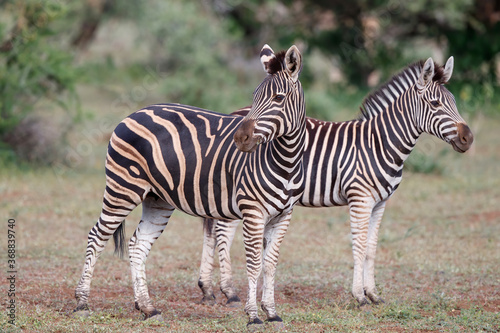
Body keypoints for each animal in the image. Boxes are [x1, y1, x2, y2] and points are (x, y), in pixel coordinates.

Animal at [73, 42, 308, 326]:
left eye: (278, 99)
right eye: (254, 97)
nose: (240, 139)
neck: (286, 161)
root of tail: (131, 114)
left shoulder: (284, 215)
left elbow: (270, 263)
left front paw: (271, 313)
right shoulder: (253, 212)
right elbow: (254, 263)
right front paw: (253, 316)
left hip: (157, 199)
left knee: (138, 245)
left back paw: (147, 307)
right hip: (122, 189)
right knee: (97, 236)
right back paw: (82, 303)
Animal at [194, 56, 472, 306]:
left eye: (454, 101)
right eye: (435, 103)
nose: (468, 138)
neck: (379, 144)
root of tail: (234, 114)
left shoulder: (380, 203)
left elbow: (371, 248)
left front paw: (374, 294)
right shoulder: (360, 198)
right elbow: (358, 245)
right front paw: (359, 296)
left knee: (213, 230)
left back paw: (207, 289)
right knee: (222, 232)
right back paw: (228, 291)